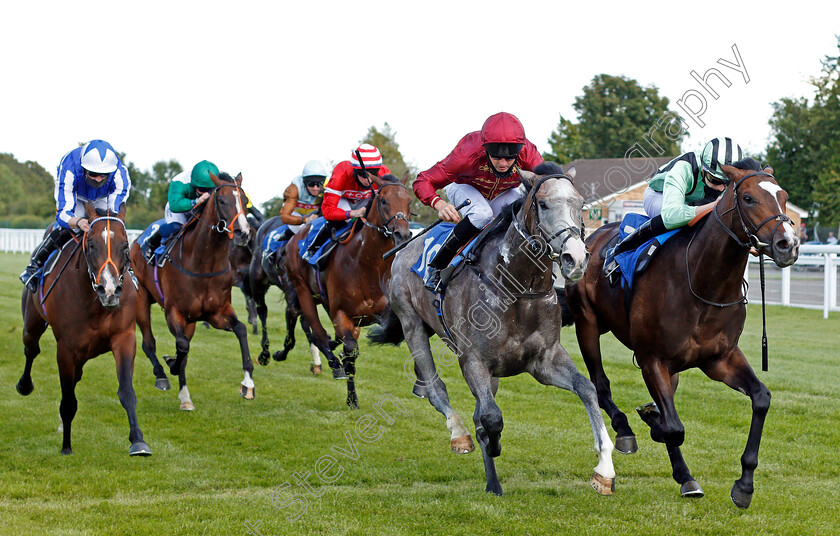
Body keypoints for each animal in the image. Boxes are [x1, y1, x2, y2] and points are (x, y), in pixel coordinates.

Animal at [17, 203, 150, 454]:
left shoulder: (124, 338)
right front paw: (66, 447)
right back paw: (24, 385)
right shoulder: (66, 349)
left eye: (125, 245)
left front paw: (138, 441)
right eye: (91, 245)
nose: (109, 290)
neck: (95, 303)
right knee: (31, 349)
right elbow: (68, 401)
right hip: (32, 322)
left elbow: (127, 392)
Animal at [130, 172, 254, 410]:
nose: (243, 233)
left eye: (244, 201)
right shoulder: (174, 312)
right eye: (222, 201)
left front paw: (247, 383)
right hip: (140, 298)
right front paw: (170, 365)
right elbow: (181, 345)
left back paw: (185, 398)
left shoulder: (217, 313)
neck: (204, 262)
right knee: (148, 343)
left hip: (191, 321)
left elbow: (241, 330)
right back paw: (161, 375)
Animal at [284, 174, 412, 408]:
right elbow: (350, 349)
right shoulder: (342, 313)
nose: (403, 233)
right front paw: (350, 391)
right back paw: (331, 363)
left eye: (409, 201)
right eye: (383, 201)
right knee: (315, 330)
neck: (367, 264)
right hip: (303, 289)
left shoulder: (370, 315)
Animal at [370, 161, 612, 496]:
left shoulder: (545, 361)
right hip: (411, 324)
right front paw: (490, 443)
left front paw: (604, 469)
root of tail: (407, 246)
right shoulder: (473, 360)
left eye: (580, 204)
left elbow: (586, 389)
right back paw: (459, 435)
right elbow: (491, 417)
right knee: (435, 388)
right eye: (543, 204)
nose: (575, 259)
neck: (517, 288)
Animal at [560, 158, 796, 506]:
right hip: (587, 324)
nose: (788, 244)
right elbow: (673, 428)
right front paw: (651, 423)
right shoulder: (652, 359)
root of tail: (593, 236)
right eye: (749, 198)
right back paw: (627, 431)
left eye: (783, 196)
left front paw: (744, 485)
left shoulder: (720, 358)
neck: (703, 282)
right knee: (601, 385)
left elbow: (761, 398)